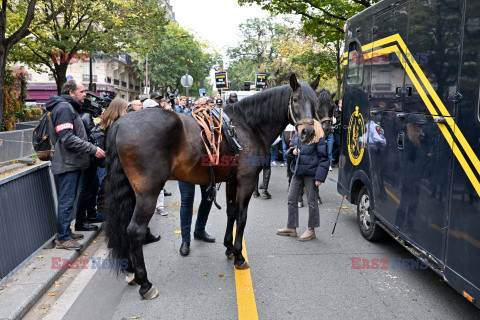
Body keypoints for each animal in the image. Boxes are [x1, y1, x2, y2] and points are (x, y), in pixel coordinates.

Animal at [104, 74, 330, 298]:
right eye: (295, 100)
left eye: (315, 103)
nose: (308, 133)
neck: (248, 125)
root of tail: (120, 124)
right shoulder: (246, 181)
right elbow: (242, 216)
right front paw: (239, 255)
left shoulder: (232, 181)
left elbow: (231, 212)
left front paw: (229, 247)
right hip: (148, 193)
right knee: (135, 230)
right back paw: (145, 282)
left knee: (124, 227)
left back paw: (131, 272)